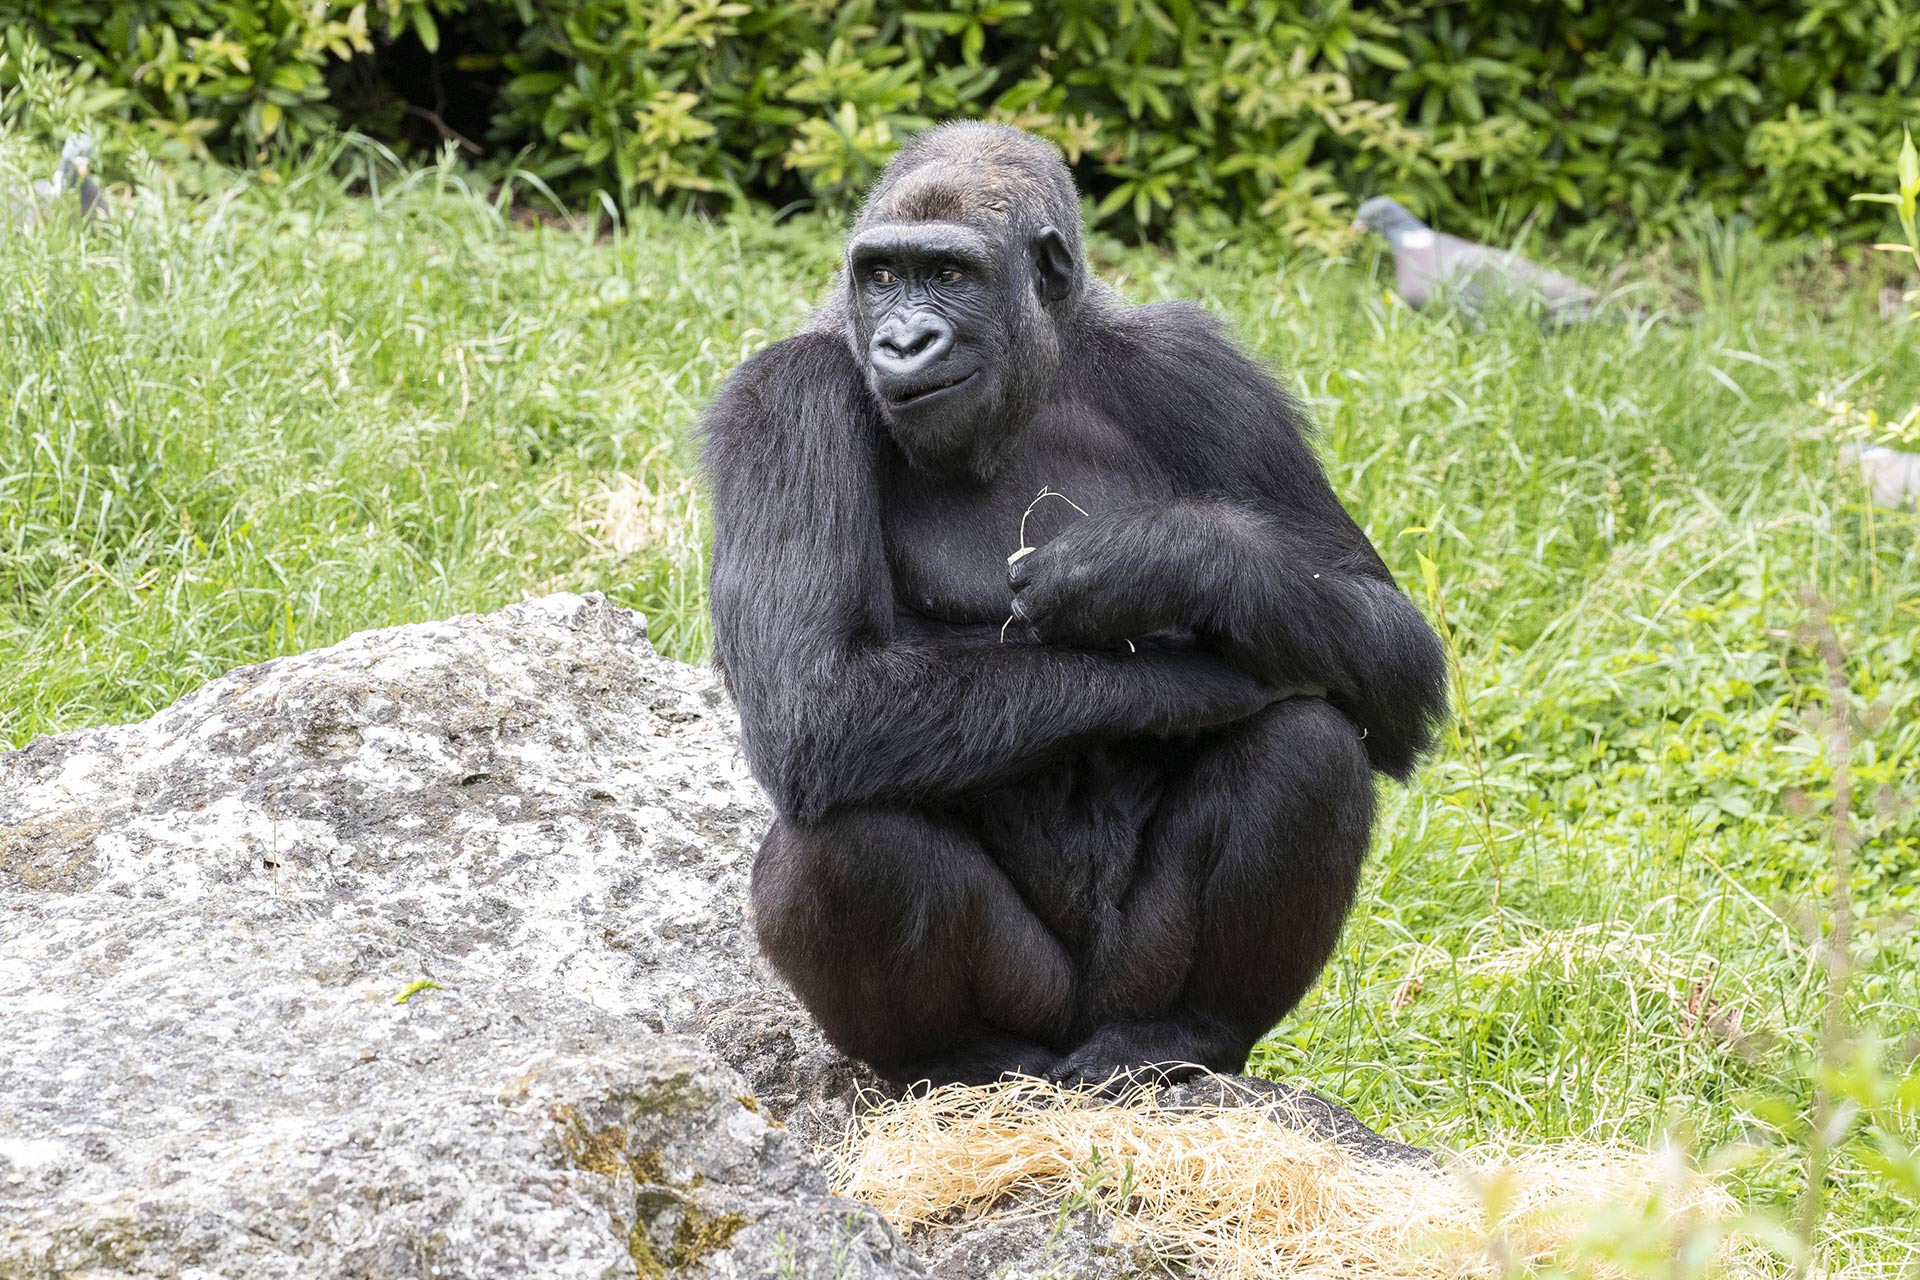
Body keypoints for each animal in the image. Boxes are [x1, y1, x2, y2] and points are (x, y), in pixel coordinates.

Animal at [702, 119, 1443, 1090]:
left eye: (949, 274)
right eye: (881, 275)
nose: (903, 344)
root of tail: (1069, 1057)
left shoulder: (1204, 371)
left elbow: (1391, 645)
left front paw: (1160, 562)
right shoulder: (782, 398)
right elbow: (815, 695)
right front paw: (1197, 678)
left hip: (1127, 986)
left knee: (1309, 744)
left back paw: (1186, 1033)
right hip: (1036, 1004)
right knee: (842, 826)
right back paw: (954, 1057)